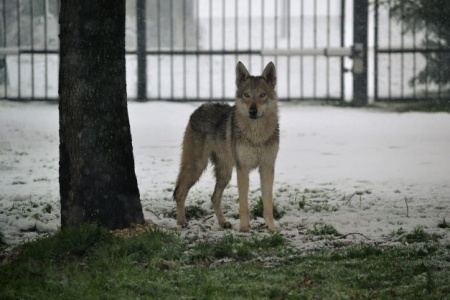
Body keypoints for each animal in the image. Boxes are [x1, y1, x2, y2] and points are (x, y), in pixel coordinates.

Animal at [174, 62, 280, 233]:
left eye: (262, 95)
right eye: (246, 95)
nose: (252, 111)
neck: (256, 135)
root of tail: (200, 107)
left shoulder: (267, 168)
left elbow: (268, 203)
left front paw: (271, 228)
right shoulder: (243, 169)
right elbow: (243, 204)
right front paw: (244, 229)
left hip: (225, 174)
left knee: (214, 197)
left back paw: (223, 222)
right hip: (196, 167)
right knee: (179, 192)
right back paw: (181, 222)